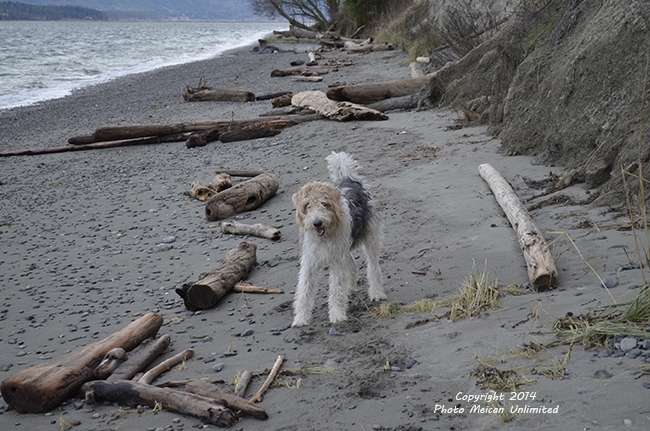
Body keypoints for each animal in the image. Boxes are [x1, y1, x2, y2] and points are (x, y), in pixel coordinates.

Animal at [290, 153, 384, 328]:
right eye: (307, 206)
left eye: (324, 204)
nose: (317, 223)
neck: (324, 237)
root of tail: (350, 180)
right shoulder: (310, 262)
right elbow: (304, 291)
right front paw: (300, 319)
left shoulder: (336, 263)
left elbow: (336, 289)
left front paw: (337, 315)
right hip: (344, 250)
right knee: (352, 264)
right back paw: (351, 287)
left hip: (371, 238)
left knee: (373, 266)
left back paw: (377, 293)